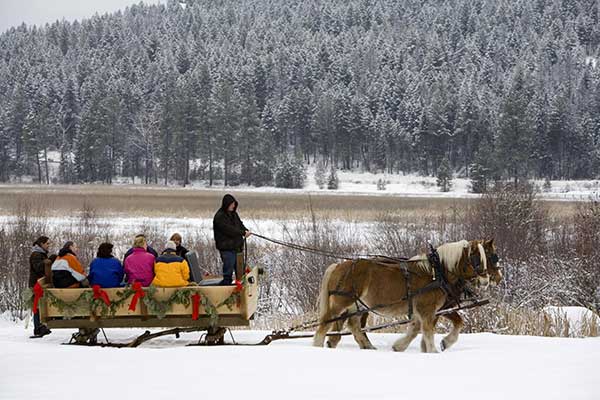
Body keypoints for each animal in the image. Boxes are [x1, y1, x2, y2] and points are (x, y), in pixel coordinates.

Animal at [314, 239, 492, 352]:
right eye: (476, 258)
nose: (486, 280)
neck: (436, 273)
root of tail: (338, 266)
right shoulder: (427, 309)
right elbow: (427, 330)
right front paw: (434, 350)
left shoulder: (425, 310)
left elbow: (416, 328)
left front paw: (400, 346)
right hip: (342, 301)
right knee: (326, 322)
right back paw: (317, 346)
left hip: (356, 305)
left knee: (354, 325)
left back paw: (367, 347)